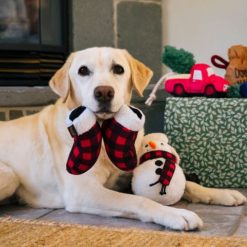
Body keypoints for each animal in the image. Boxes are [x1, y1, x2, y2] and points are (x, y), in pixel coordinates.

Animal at [0, 47, 245, 231]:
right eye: (83, 71)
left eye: (118, 69)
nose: (104, 92)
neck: (106, 132)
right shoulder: (83, 191)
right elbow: (138, 199)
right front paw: (176, 214)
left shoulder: (128, 171)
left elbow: (189, 184)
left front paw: (221, 193)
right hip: (9, 176)